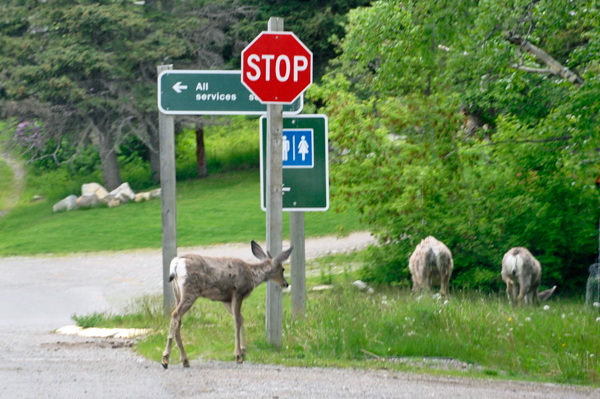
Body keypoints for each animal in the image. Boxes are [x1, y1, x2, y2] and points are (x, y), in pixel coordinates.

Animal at [162, 241, 292, 368]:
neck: (252, 275)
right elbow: (237, 321)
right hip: (190, 290)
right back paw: (165, 359)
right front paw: (238, 355)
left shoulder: (226, 299)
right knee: (175, 314)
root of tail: (177, 262)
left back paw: (184, 360)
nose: (286, 284)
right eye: (282, 269)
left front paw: (243, 350)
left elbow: (240, 318)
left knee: (178, 319)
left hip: (177, 292)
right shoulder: (238, 292)